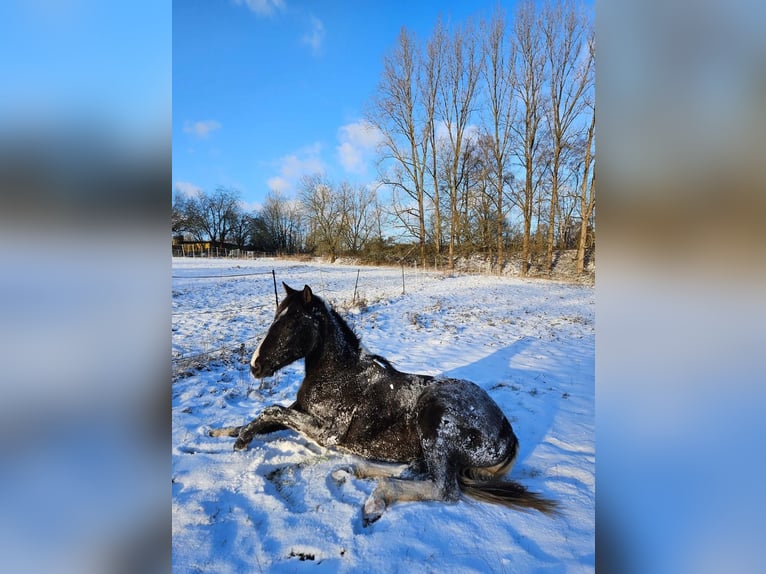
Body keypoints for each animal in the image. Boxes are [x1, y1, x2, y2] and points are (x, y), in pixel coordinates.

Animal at [210, 282, 558, 524]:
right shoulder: (300, 413)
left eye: (293, 323)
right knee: (413, 469)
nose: (255, 365)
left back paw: (375, 499)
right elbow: (264, 417)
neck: (338, 374)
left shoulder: (325, 432)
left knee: (442, 489)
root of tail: (508, 433)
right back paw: (354, 471)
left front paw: (240, 441)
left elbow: (270, 410)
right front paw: (222, 433)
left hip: (435, 422)